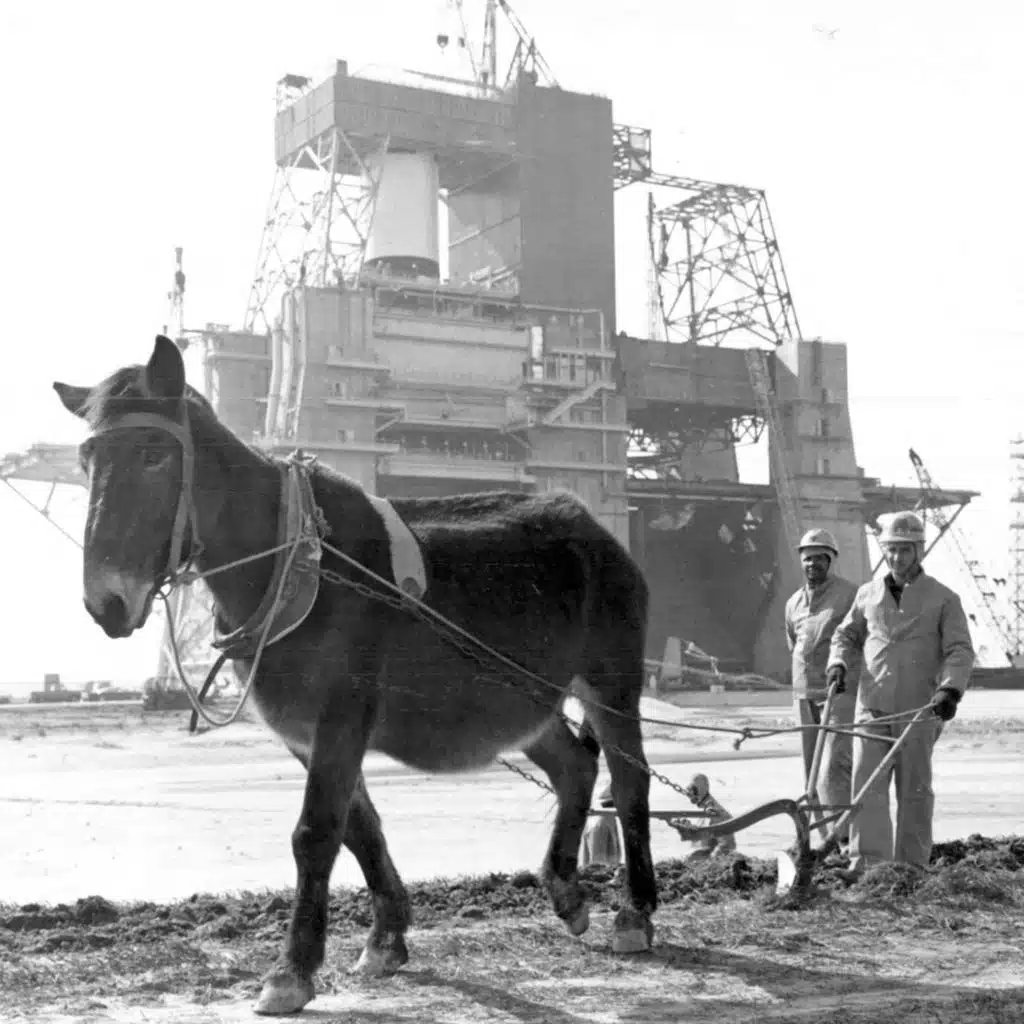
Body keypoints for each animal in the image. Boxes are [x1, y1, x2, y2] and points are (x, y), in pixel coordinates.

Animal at [54, 334, 658, 1016]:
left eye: (155, 454)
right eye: (86, 458)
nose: (106, 602)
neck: (295, 561)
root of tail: (592, 524)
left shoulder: (343, 709)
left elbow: (317, 832)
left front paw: (292, 969)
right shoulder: (304, 729)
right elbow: (358, 826)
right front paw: (387, 936)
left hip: (610, 678)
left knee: (629, 780)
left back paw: (635, 912)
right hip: (522, 695)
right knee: (574, 765)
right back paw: (565, 888)